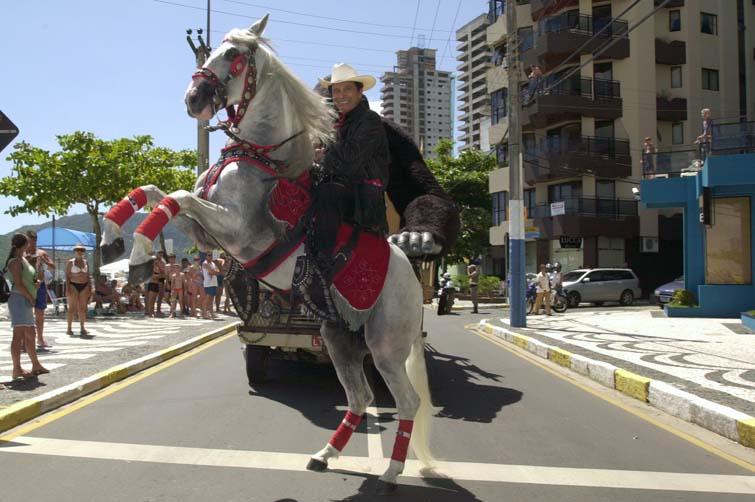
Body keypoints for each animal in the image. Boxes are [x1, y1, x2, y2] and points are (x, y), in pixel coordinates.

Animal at [99, 15, 432, 494]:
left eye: (234, 57)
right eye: (214, 50)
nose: (193, 99)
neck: (259, 159)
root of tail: (408, 271)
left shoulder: (238, 232)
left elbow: (175, 197)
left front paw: (141, 259)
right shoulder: (205, 232)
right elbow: (154, 193)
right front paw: (112, 235)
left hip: (386, 344)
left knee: (406, 400)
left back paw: (389, 472)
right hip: (339, 336)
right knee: (360, 396)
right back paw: (324, 455)